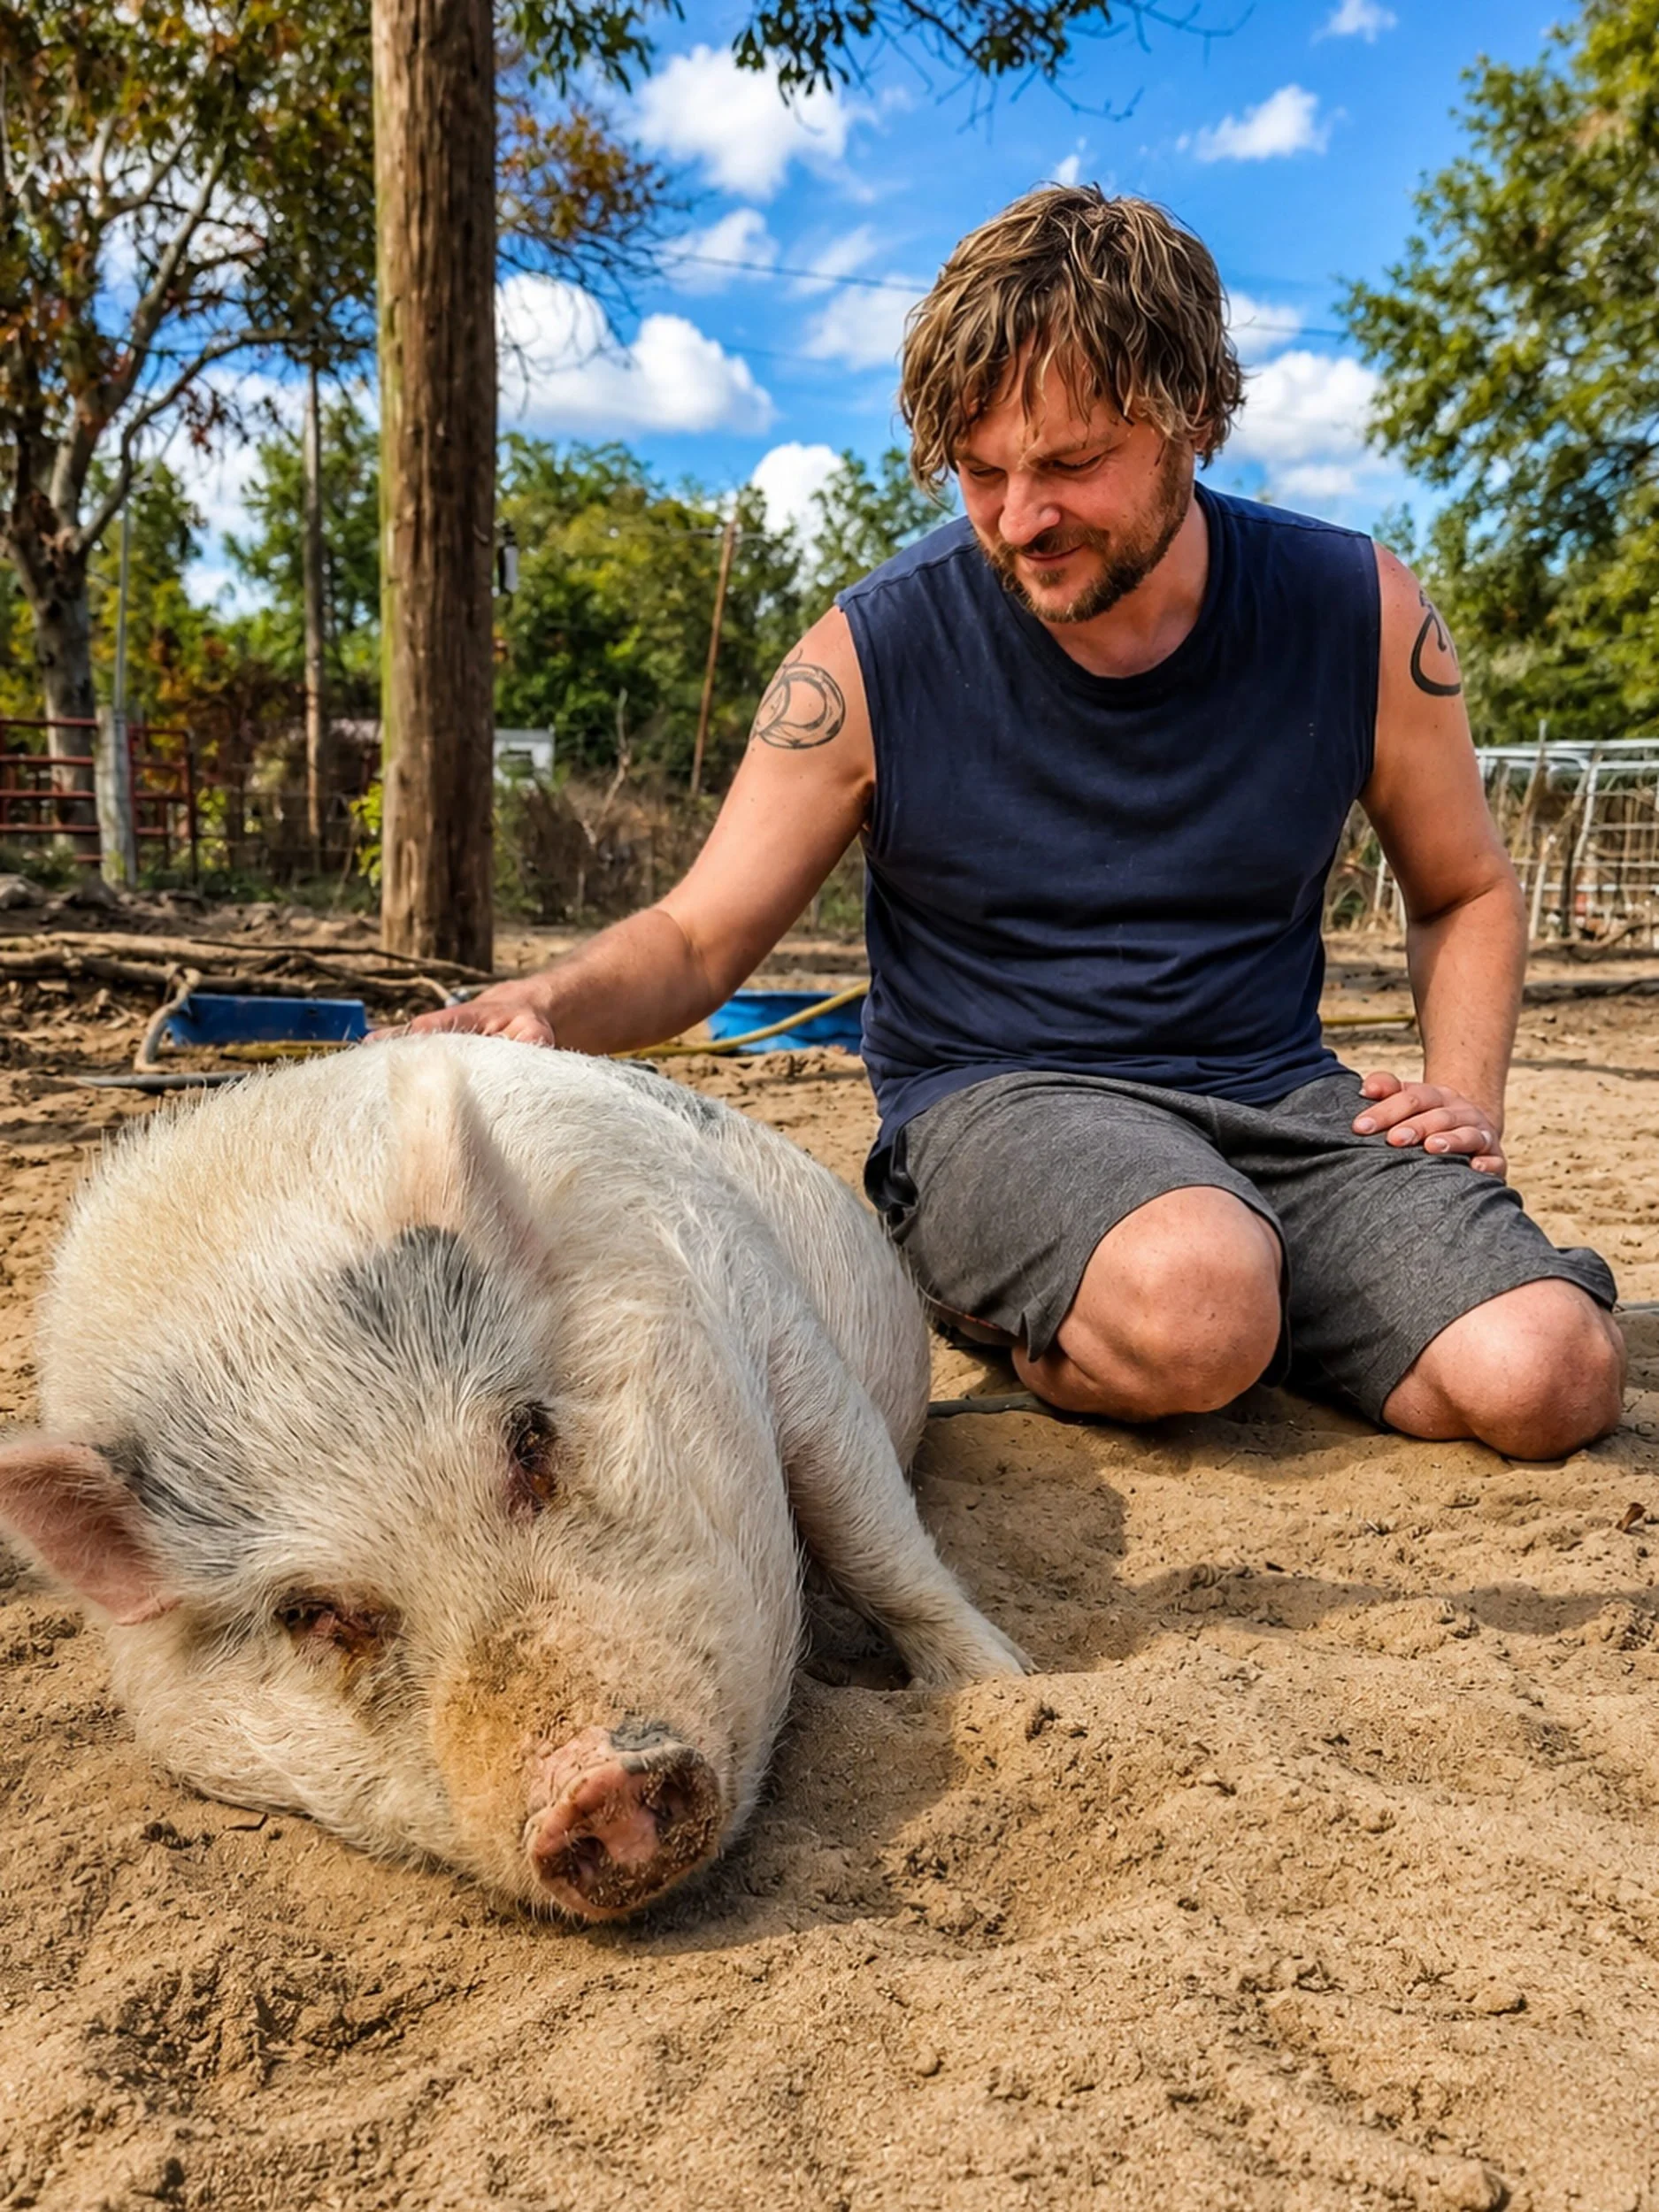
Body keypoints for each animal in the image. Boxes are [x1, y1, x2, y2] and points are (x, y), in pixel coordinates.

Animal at [0, 1037, 1025, 1921]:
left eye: (529, 1438)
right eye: (307, 1611)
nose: (594, 1785)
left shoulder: (767, 1309)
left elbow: (869, 1532)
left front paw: (1010, 1687)